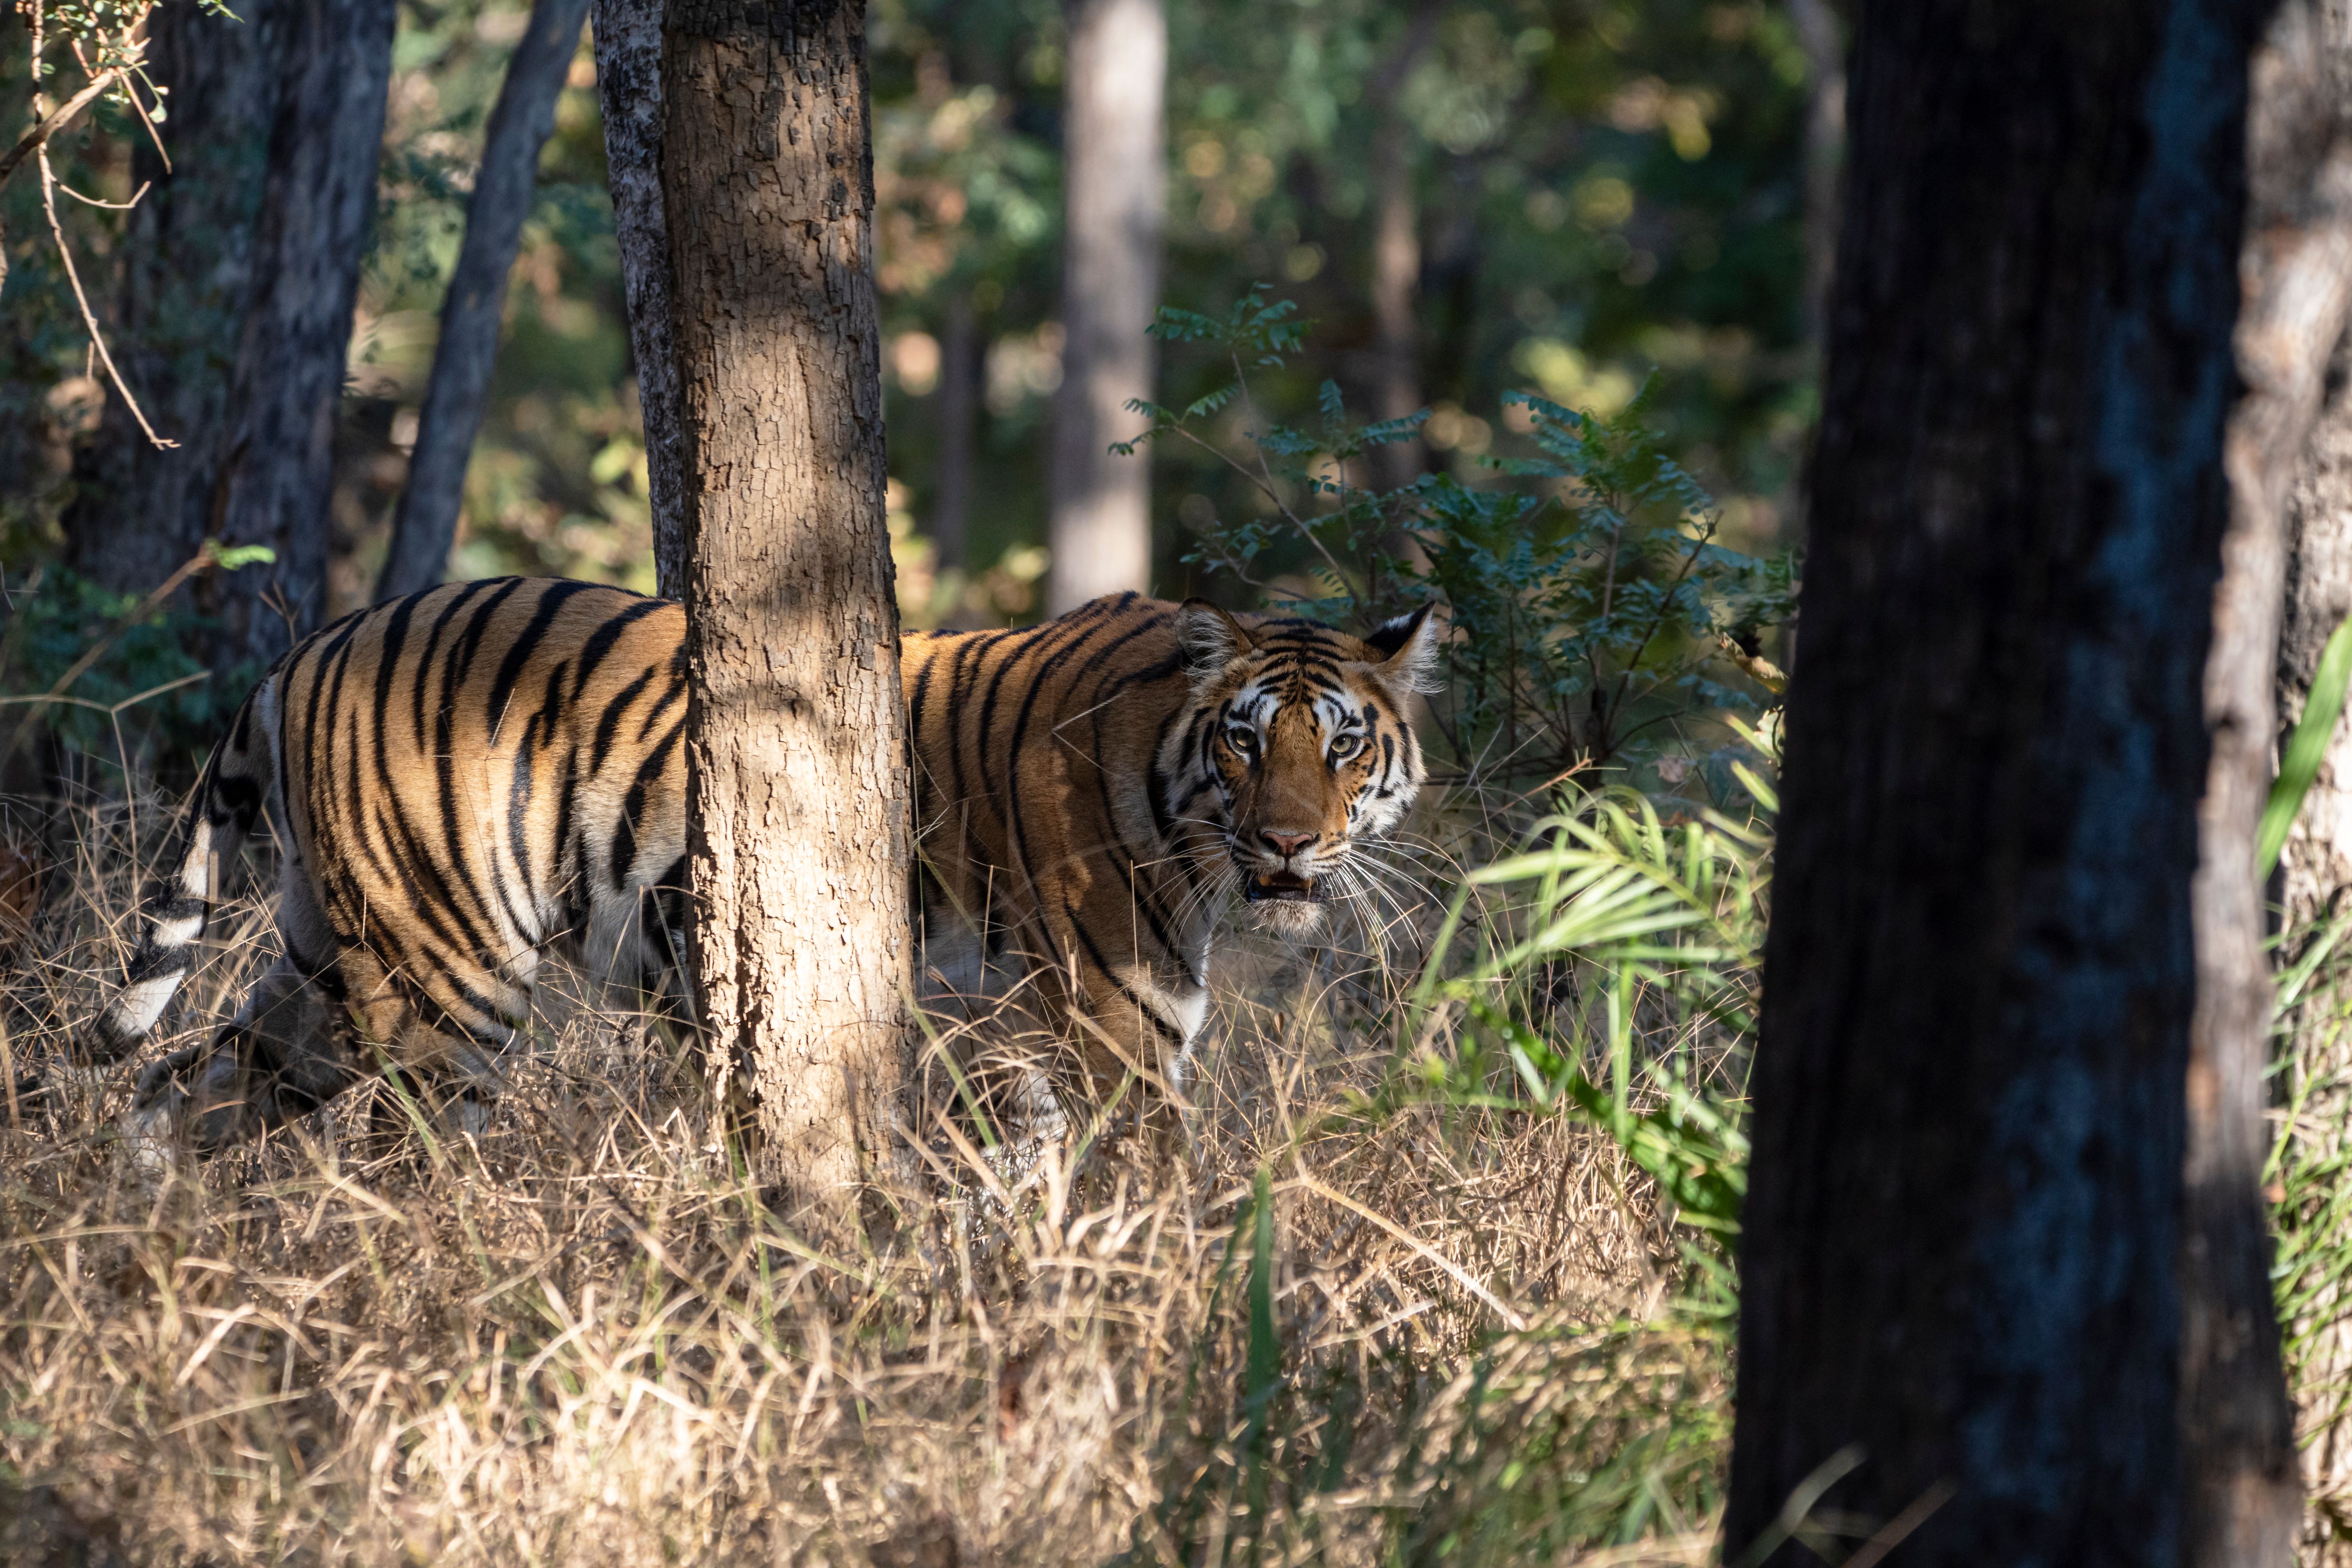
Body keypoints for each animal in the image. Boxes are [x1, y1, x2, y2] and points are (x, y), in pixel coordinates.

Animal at [53, 577, 1441, 1153]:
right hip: (446, 975)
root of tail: (315, 645)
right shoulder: (1118, 1034)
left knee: (176, 1088)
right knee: (405, 1160)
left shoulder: (1016, 1052)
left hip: (324, 969)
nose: (1288, 841)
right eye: (1245, 740)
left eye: (1344, 744)